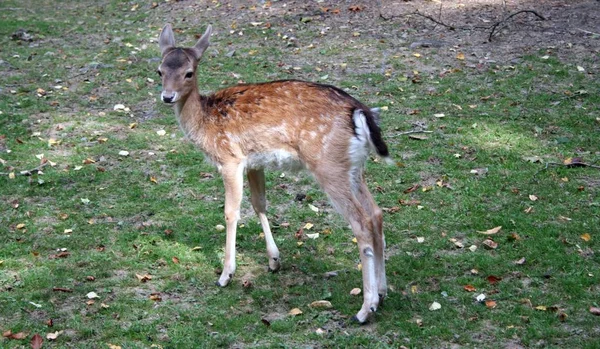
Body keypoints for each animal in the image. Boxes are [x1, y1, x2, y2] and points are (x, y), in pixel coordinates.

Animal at [158, 23, 394, 324]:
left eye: (189, 72)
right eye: (160, 70)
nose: (168, 96)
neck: (205, 122)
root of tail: (360, 113)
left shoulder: (230, 158)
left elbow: (231, 211)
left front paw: (226, 275)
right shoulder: (253, 162)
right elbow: (260, 203)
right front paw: (273, 260)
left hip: (329, 166)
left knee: (361, 223)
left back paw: (365, 308)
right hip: (353, 167)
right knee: (376, 214)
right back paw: (383, 293)